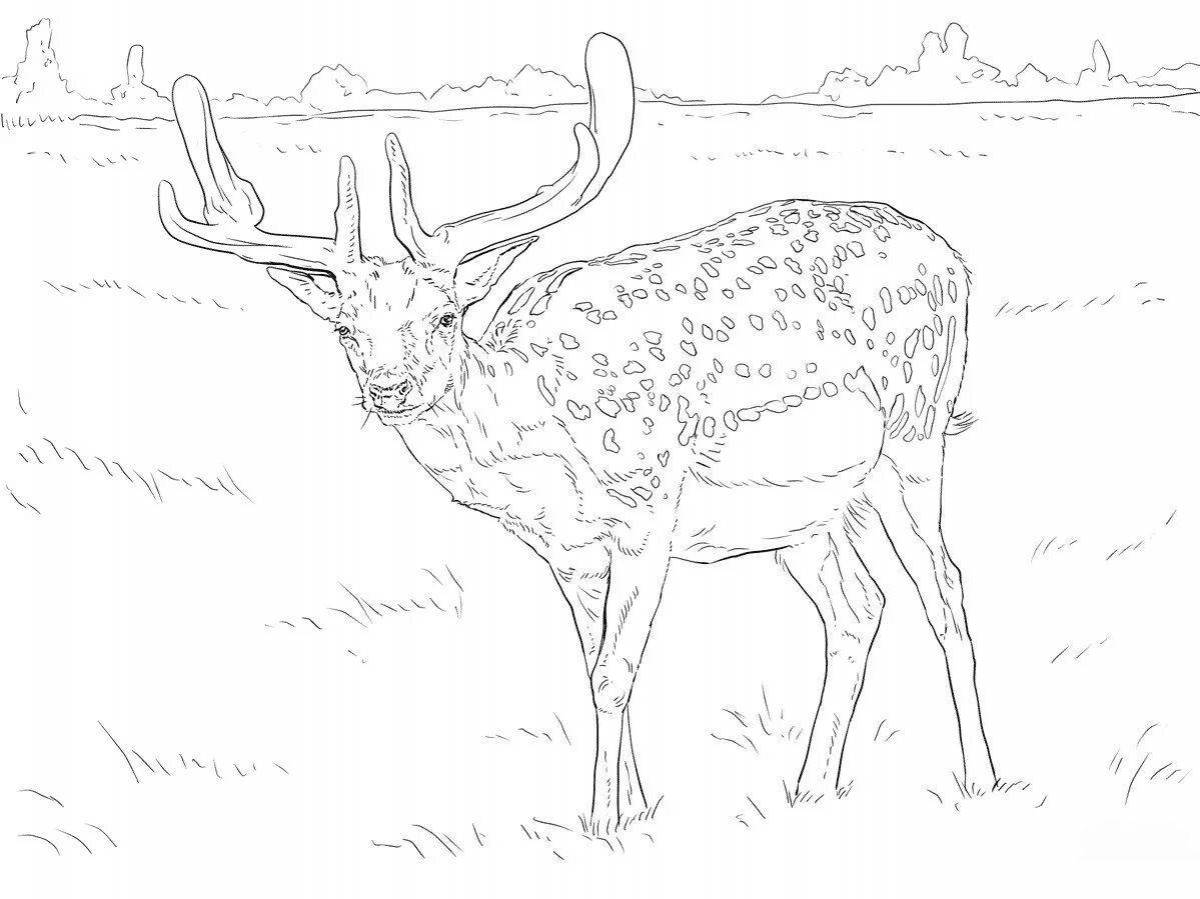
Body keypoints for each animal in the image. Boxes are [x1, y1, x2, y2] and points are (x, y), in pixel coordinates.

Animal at [158, 33, 996, 829]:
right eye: (344, 328)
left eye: (445, 315)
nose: (390, 389)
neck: (542, 441)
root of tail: (951, 255)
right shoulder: (568, 551)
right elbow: (593, 663)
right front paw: (635, 805)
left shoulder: (650, 511)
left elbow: (614, 671)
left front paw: (600, 820)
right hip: (804, 511)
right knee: (859, 607)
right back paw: (811, 787)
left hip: (914, 434)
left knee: (945, 588)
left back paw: (980, 776)